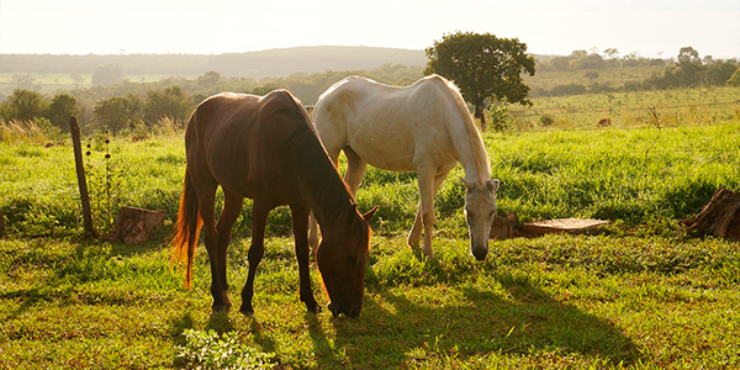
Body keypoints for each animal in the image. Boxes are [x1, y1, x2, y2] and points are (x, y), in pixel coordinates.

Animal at [168, 90, 376, 318]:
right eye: (350, 257)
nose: (354, 310)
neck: (291, 148)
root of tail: (196, 112)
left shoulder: (300, 205)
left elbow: (301, 250)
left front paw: (309, 300)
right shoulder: (261, 204)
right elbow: (255, 251)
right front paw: (247, 302)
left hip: (233, 193)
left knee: (223, 237)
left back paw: (224, 290)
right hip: (205, 185)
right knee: (211, 238)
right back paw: (218, 297)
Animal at [306, 75, 498, 260]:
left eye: (492, 212)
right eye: (468, 212)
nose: (480, 253)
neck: (443, 118)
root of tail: (325, 95)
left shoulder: (441, 173)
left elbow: (421, 208)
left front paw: (413, 243)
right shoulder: (425, 169)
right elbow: (427, 213)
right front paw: (429, 254)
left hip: (356, 160)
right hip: (329, 151)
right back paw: (314, 246)